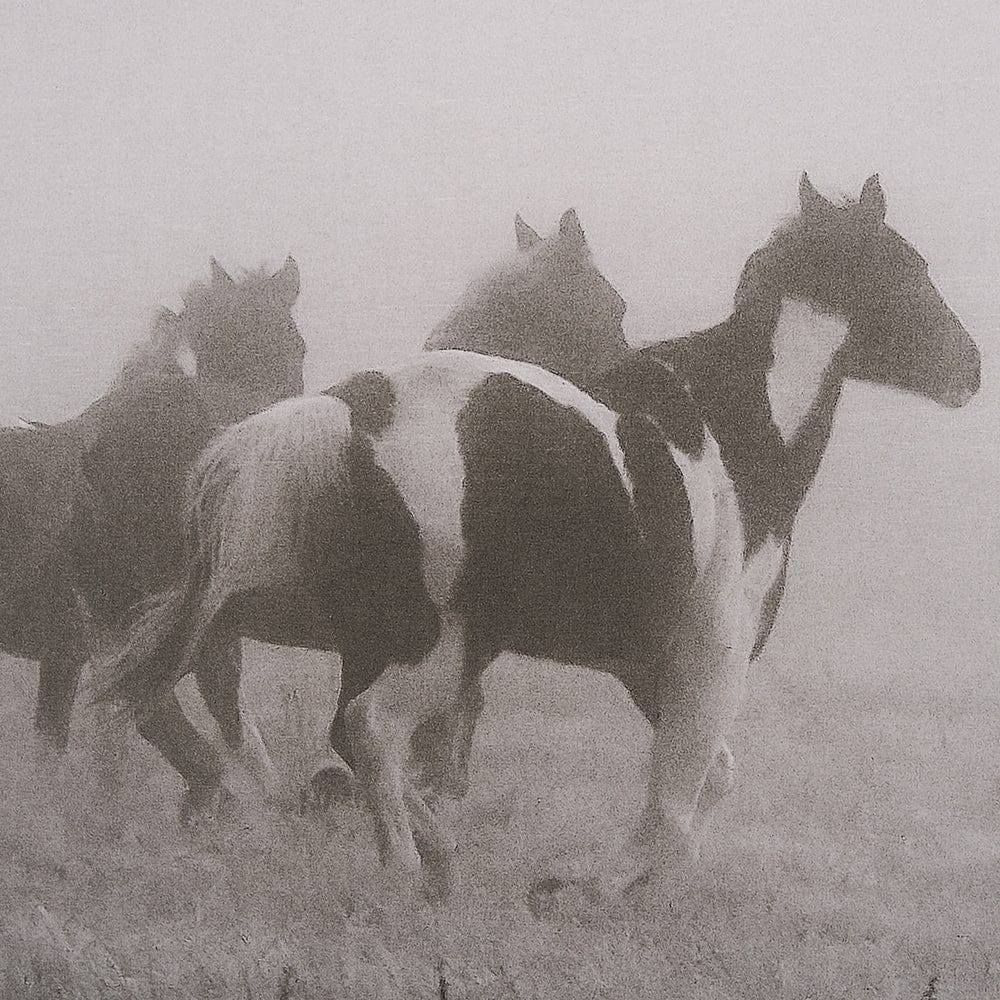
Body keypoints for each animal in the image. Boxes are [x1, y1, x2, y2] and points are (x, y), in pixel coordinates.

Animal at [98, 177, 980, 899]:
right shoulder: (714, 655)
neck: (740, 436)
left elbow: (708, 781)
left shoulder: (650, 663)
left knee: (343, 734)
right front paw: (592, 886)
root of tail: (350, 408)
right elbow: (678, 799)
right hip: (436, 643)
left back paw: (421, 851)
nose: (969, 369)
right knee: (368, 728)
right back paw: (411, 868)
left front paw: (625, 885)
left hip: (384, 637)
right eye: (912, 271)